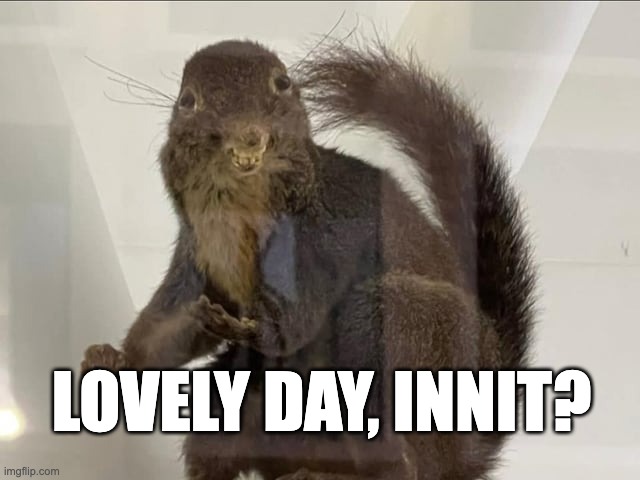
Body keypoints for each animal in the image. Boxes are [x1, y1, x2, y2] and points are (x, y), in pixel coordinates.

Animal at [81, 39, 536, 480]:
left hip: (406, 329)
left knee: (406, 467)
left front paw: (242, 325)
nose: (248, 136)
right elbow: (162, 328)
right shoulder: (197, 258)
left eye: (282, 84)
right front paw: (116, 359)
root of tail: (468, 455)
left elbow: (296, 321)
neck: (236, 208)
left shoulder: (323, 236)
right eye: (187, 101)